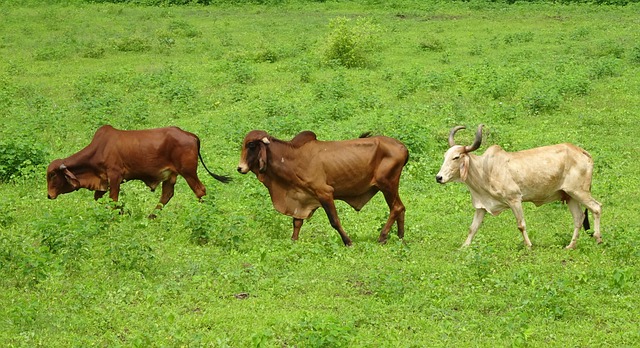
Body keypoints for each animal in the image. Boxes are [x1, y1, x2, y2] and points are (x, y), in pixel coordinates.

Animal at [48, 125, 232, 218]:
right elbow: (99, 199)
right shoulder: (103, 182)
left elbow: (113, 200)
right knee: (166, 195)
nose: (49, 195)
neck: (99, 149)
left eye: (52, 175)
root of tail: (191, 135)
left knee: (200, 191)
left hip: (188, 172)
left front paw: (122, 214)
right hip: (171, 175)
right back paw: (151, 216)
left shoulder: (115, 177)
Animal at [236, 129, 410, 246]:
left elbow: (334, 221)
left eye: (251, 145)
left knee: (396, 208)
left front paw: (348, 241)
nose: (240, 168)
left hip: (387, 184)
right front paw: (293, 240)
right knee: (401, 208)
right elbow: (297, 222)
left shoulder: (324, 193)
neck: (292, 158)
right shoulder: (301, 197)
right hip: (390, 186)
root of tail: (403, 147)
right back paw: (400, 238)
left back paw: (383, 237)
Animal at [432, 123, 604, 249]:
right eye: (445, 156)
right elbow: (472, 228)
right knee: (579, 218)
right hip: (569, 196)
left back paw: (598, 239)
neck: (484, 170)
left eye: (456, 157)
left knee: (596, 208)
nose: (439, 177)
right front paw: (463, 247)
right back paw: (570, 246)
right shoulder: (481, 207)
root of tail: (583, 152)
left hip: (579, 191)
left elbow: (521, 225)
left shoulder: (514, 199)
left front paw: (528, 246)